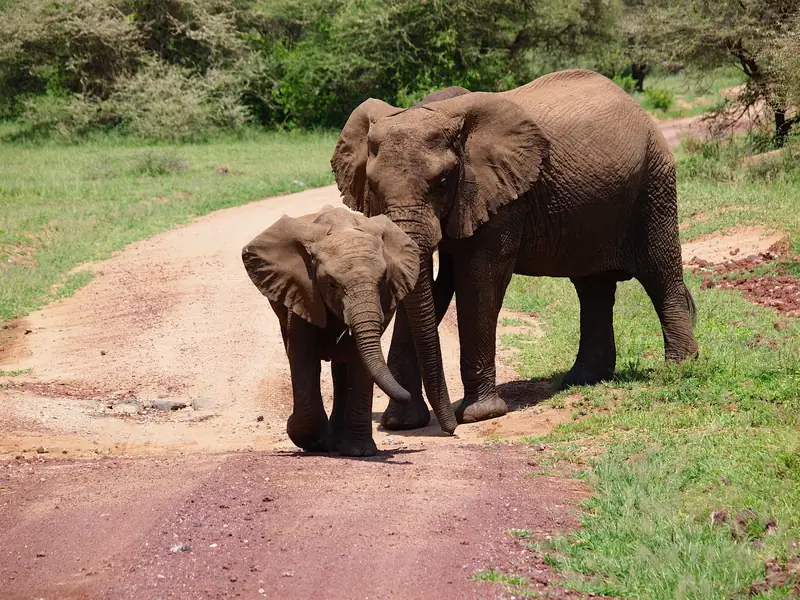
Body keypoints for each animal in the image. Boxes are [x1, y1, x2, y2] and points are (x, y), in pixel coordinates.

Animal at [241, 205, 419, 456]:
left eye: (383, 280)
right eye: (332, 284)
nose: (407, 396)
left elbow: (359, 362)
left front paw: (359, 452)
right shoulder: (303, 290)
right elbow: (302, 357)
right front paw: (309, 440)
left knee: (342, 367)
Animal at [330, 69, 699, 433]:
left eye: (443, 181)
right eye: (373, 186)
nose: (449, 428)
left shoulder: (499, 198)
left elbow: (477, 282)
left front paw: (478, 415)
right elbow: (433, 287)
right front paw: (400, 423)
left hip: (654, 184)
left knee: (660, 275)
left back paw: (679, 369)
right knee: (592, 288)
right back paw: (582, 380)